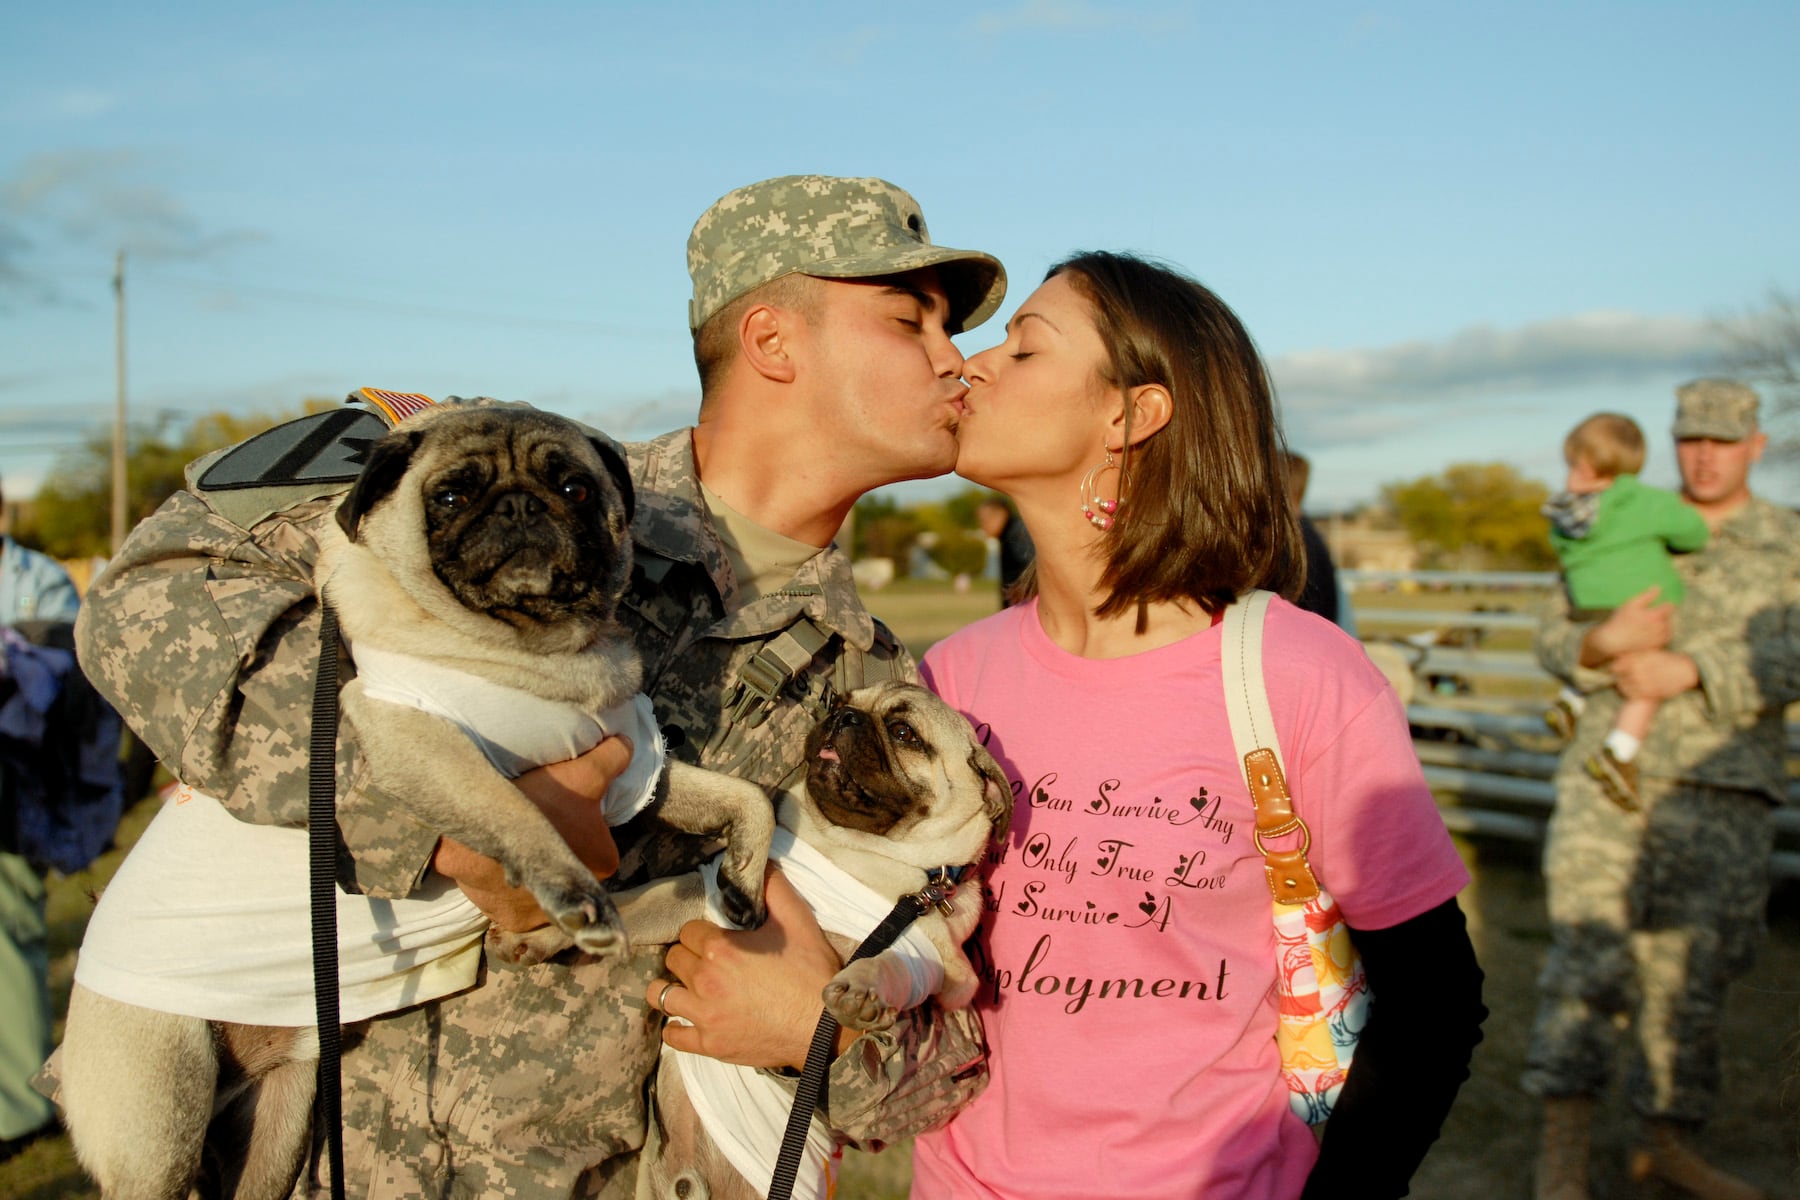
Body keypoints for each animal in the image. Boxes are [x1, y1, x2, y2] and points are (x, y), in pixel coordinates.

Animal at [619, 679, 1013, 1200]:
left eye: (903, 731)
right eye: (837, 701)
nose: (844, 717)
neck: (853, 849)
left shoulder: (940, 969)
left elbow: (889, 966)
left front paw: (862, 989)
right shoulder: (704, 896)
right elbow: (639, 907)